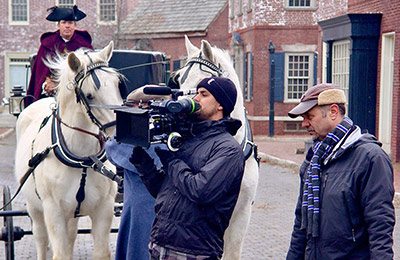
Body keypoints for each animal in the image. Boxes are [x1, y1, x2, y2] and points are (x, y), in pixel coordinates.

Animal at [14, 41, 122, 258]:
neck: (83, 159)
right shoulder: (53, 211)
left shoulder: (104, 209)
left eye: (117, 84)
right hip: (35, 208)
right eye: (89, 95)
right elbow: (60, 253)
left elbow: (101, 252)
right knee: (40, 237)